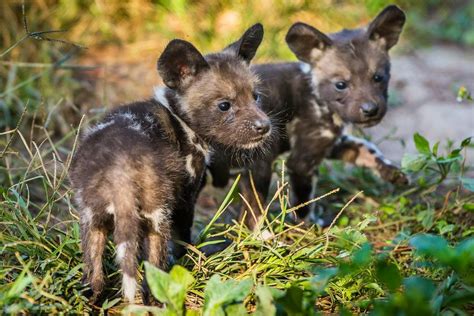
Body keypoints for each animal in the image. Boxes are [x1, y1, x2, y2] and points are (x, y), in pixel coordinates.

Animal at [70, 23, 270, 302]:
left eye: (256, 96)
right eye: (224, 105)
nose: (265, 127)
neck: (180, 118)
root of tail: (119, 166)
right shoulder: (186, 199)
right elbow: (183, 239)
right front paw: (190, 260)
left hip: (92, 220)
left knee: (95, 277)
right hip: (157, 217)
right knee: (151, 272)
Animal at [209, 5, 410, 230]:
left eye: (378, 77)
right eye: (340, 85)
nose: (370, 109)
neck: (314, 93)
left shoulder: (331, 143)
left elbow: (366, 148)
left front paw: (392, 172)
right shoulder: (302, 160)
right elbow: (303, 203)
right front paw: (309, 228)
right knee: (252, 217)